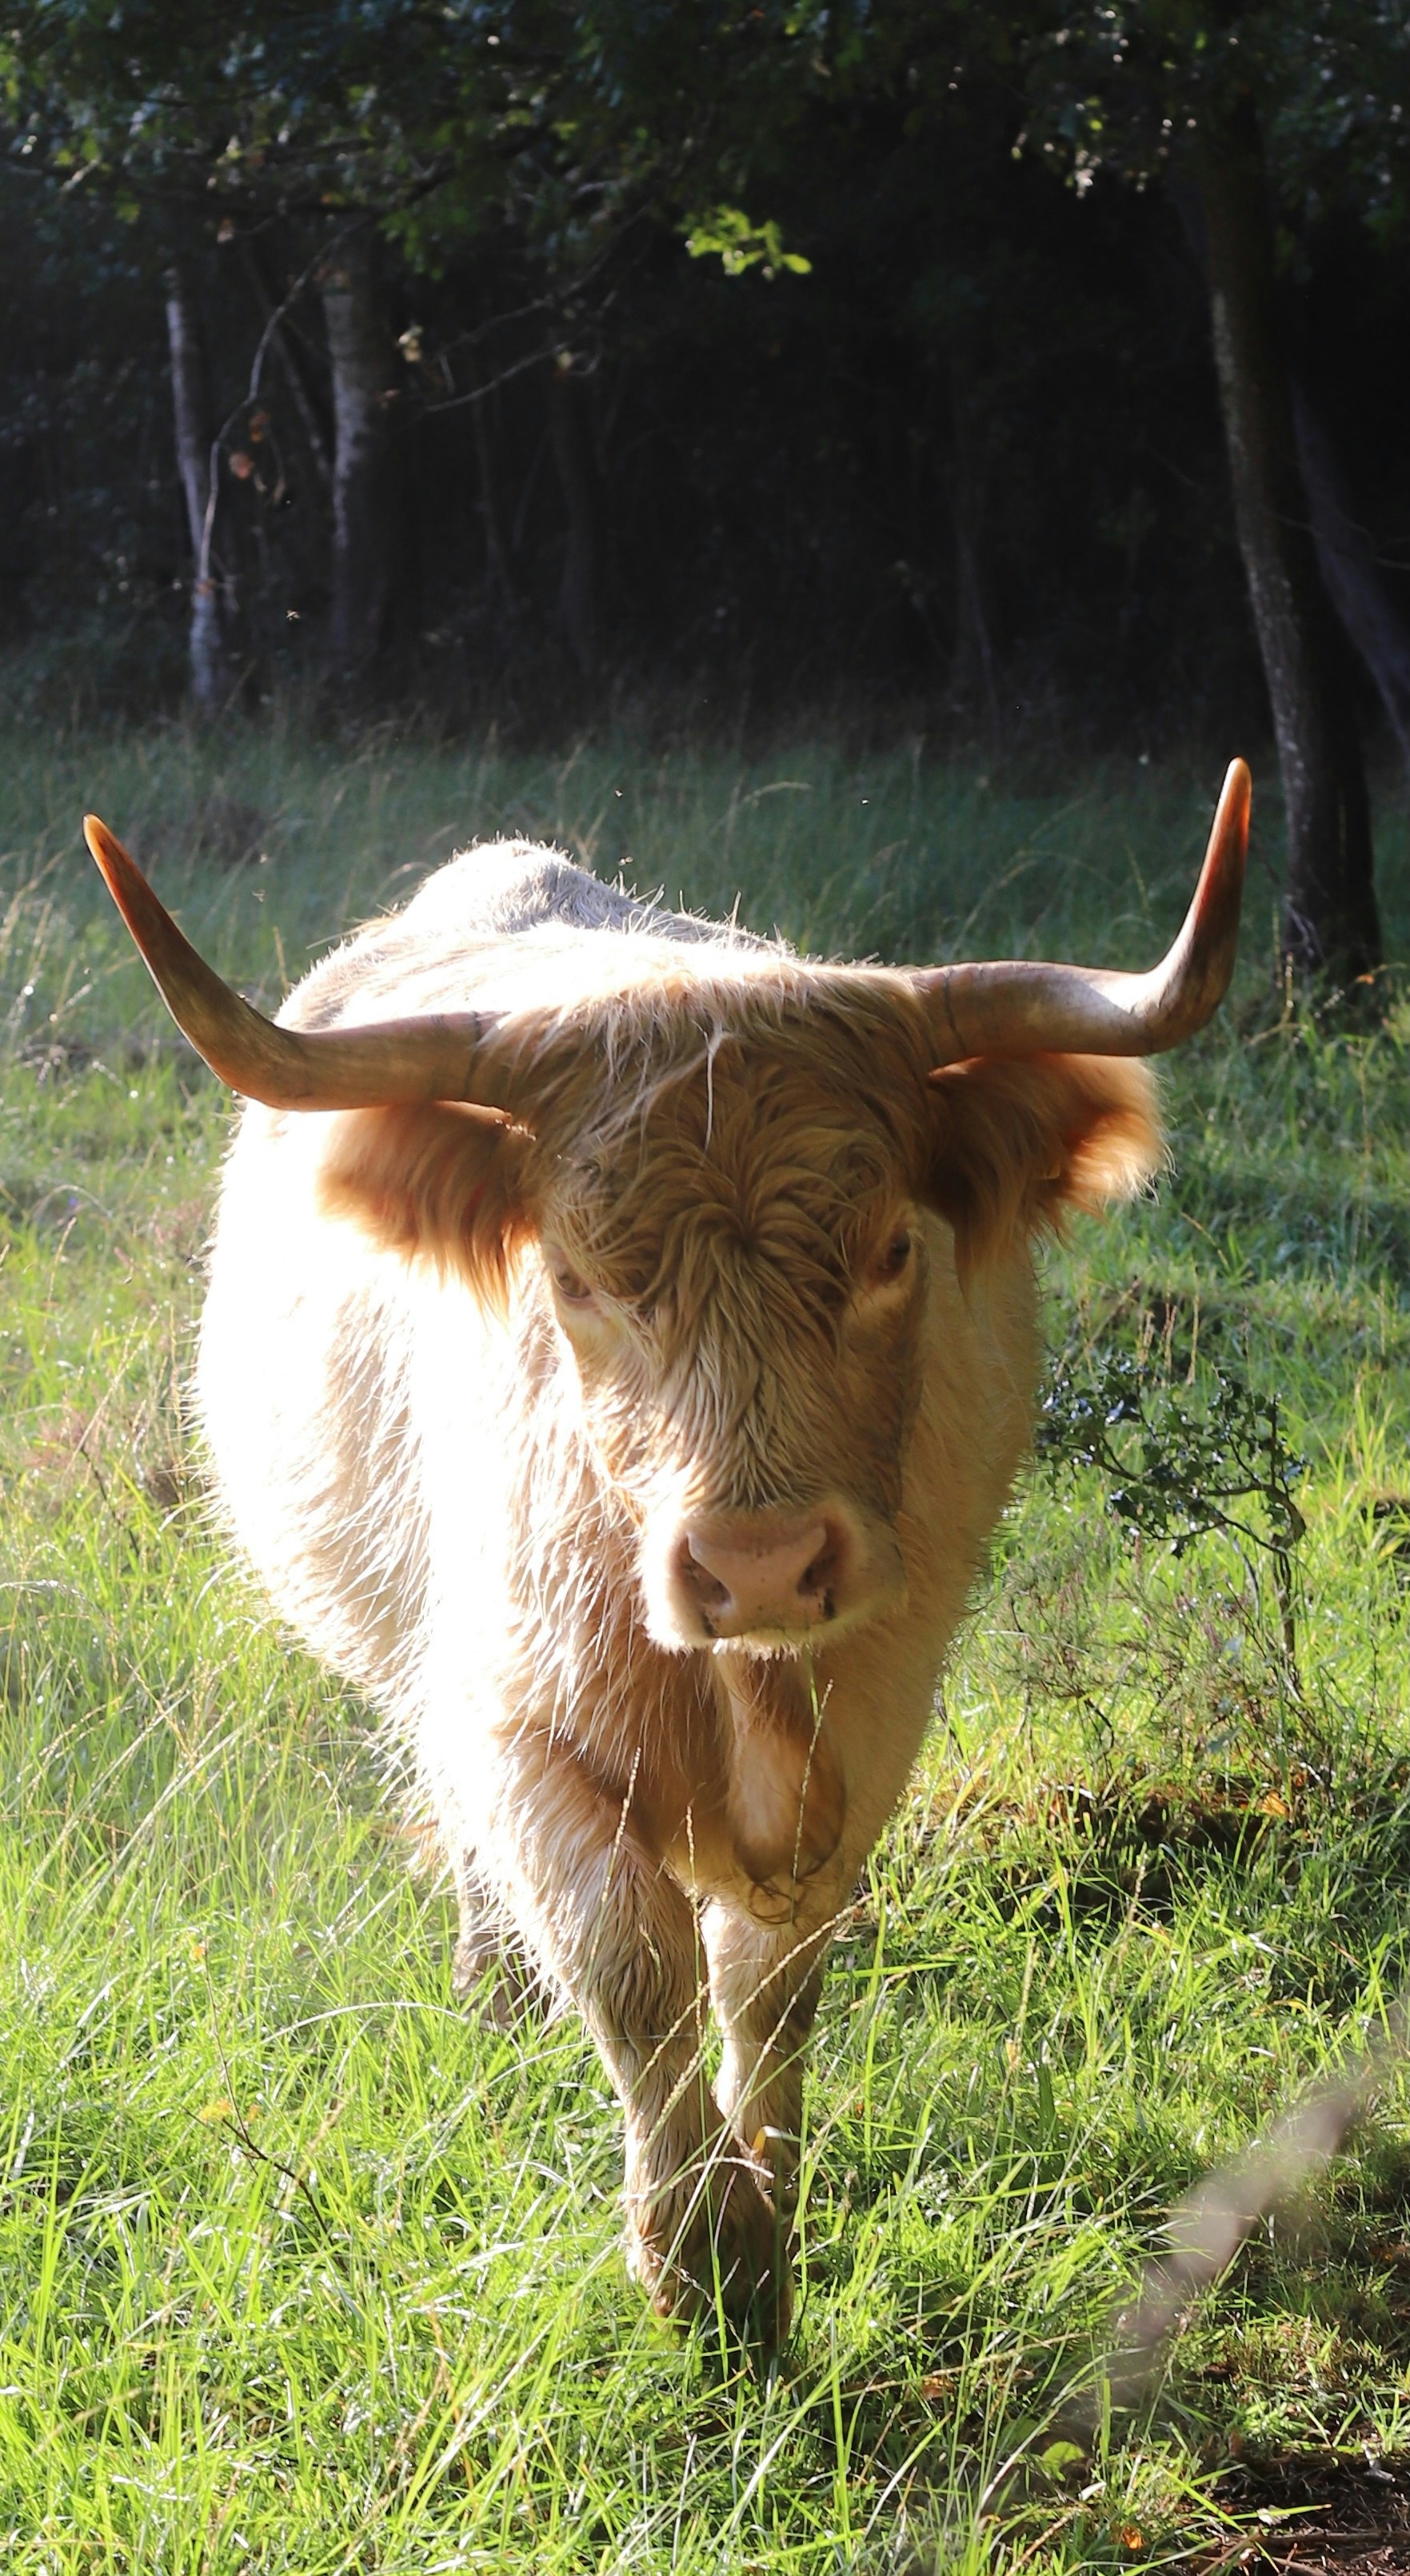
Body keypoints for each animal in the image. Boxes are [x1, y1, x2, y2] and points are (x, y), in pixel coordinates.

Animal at [83, 760, 1249, 2353]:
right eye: (578, 1278)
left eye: (890, 1250)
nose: (756, 1566)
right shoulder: (510, 1720)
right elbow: (628, 1962)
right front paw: (702, 2255)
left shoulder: (874, 1715)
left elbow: (772, 1978)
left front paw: (768, 2211)